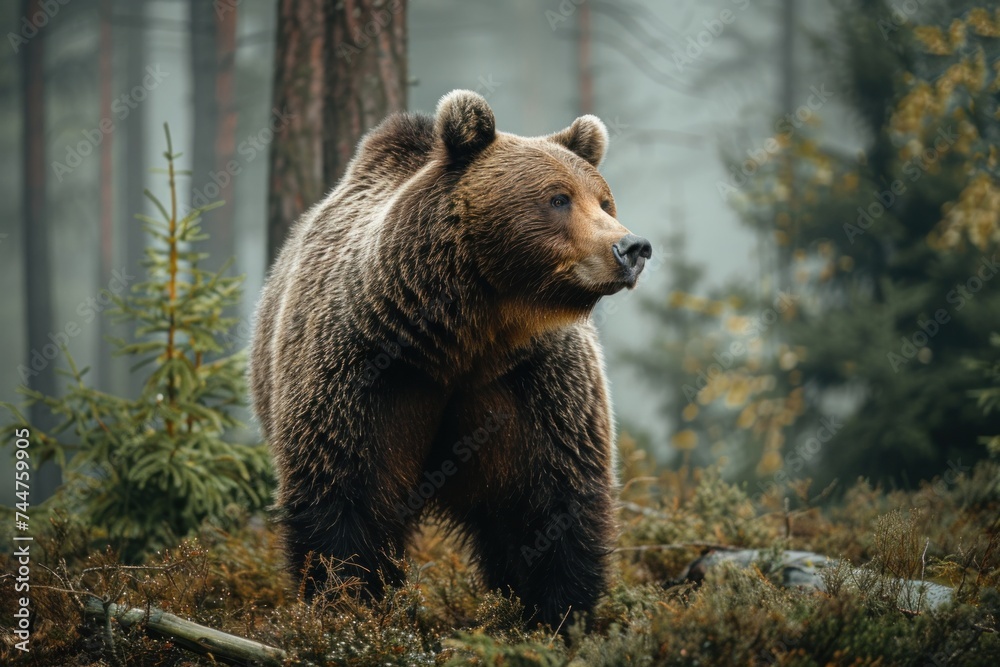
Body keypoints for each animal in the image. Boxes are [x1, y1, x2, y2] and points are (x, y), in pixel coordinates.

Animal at [248, 89, 652, 628]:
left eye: (604, 200)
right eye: (558, 198)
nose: (631, 247)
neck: (466, 336)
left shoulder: (535, 384)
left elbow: (551, 504)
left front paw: (555, 616)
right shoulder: (366, 372)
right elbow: (344, 497)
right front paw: (349, 603)